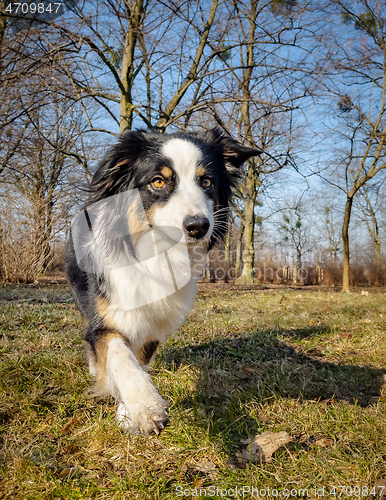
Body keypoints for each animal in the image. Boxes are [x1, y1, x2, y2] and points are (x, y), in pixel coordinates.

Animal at [65, 128, 260, 434]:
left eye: (207, 181)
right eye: (158, 181)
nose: (198, 226)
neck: (158, 257)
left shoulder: (156, 323)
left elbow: (140, 359)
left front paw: (126, 410)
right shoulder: (107, 314)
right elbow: (119, 354)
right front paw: (144, 405)